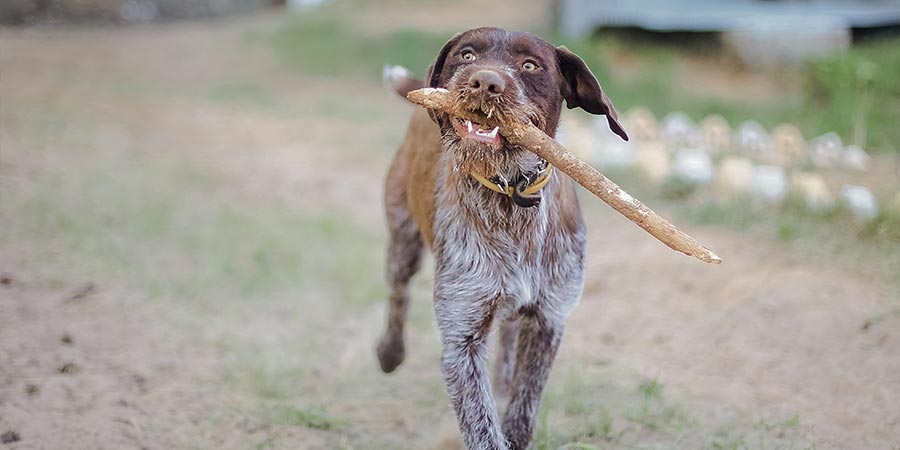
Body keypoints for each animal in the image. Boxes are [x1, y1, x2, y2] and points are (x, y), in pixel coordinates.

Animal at [378, 28, 624, 450]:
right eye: (466, 55)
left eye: (530, 65)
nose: (485, 82)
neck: (511, 194)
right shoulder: (461, 338)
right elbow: (483, 429)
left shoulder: (549, 319)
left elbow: (522, 414)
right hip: (403, 239)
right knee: (398, 294)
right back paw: (390, 352)